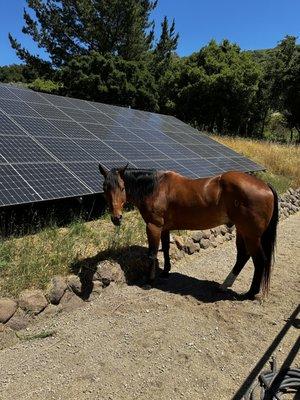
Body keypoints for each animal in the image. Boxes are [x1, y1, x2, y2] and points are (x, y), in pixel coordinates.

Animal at [99, 164, 278, 298]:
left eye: (122, 187)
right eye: (105, 188)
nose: (116, 218)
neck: (156, 188)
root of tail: (265, 186)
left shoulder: (153, 226)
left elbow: (152, 254)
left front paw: (150, 282)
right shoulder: (164, 228)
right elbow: (166, 248)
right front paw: (166, 271)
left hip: (251, 235)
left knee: (259, 260)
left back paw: (250, 292)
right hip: (242, 231)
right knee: (243, 257)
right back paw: (224, 286)